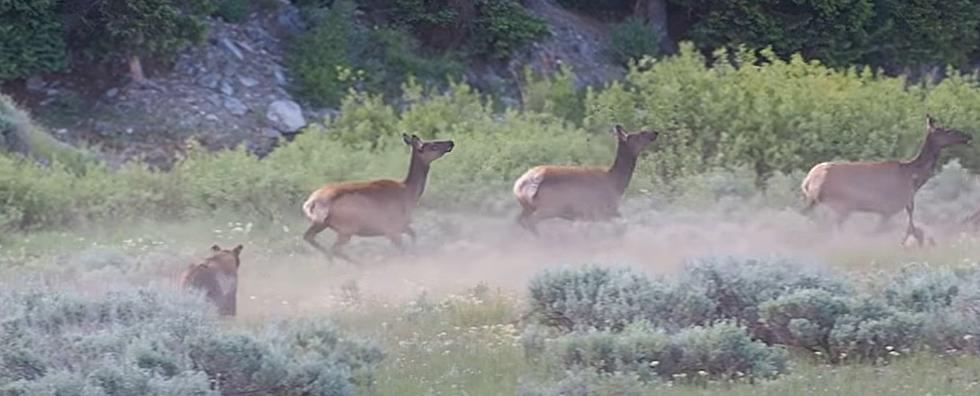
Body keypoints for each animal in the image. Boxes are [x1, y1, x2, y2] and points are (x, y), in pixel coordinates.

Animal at [302, 134, 456, 262]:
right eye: (433, 145)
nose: (450, 142)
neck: (409, 194)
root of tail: (310, 203)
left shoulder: (400, 226)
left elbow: (413, 235)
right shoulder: (391, 227)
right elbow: (404, 248)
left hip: (321, 223)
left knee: (310, 238)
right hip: (347, 227)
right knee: (333, 249)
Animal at [512, 125, 660, 234]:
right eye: (641, 133)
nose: (655, 132)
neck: (616, 182)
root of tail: (522, 184)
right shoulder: (603, 210)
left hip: (528, 206)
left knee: (520, 220)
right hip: (550, 207)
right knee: (530, 221)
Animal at [804, 113, 972, 246]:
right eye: (947, 130)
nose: (967, 136)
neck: (913, 176)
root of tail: (809, 180)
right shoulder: (889, 207)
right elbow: (884, 232)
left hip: (817, 203)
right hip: (841, 204)